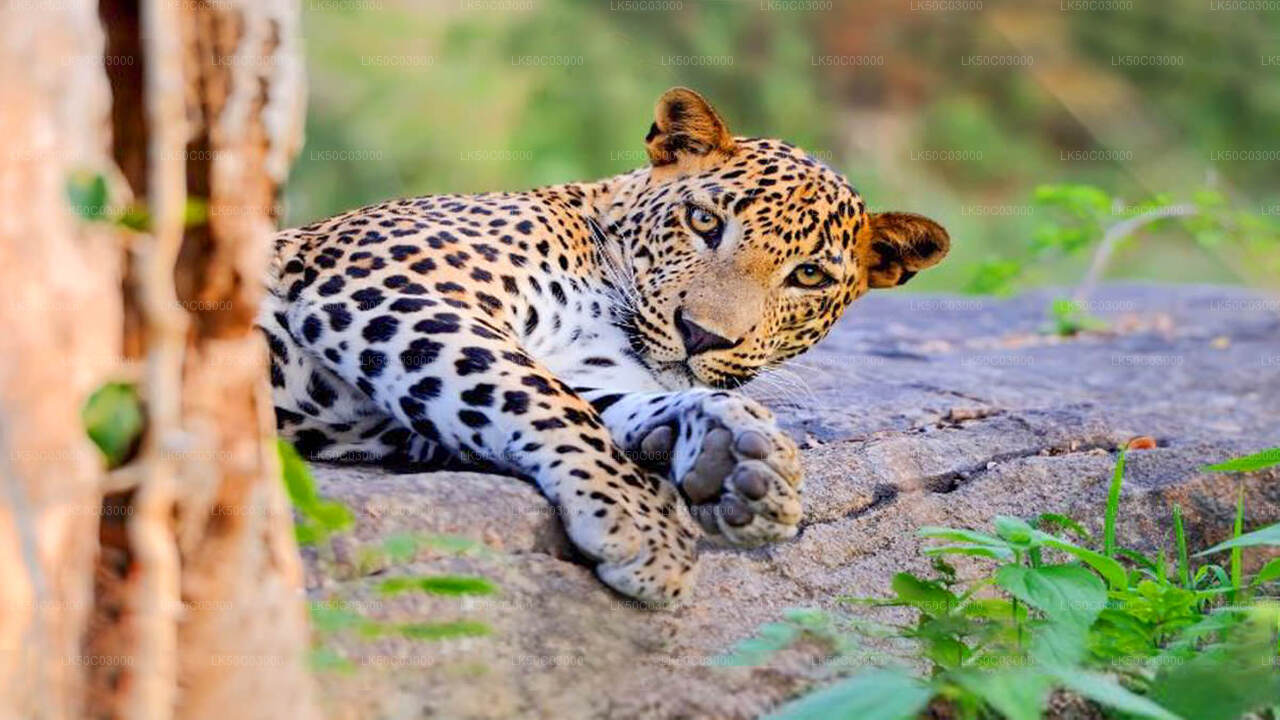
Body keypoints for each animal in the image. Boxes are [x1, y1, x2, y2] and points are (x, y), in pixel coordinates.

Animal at [260, 88, 950, 604]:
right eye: (704, 221)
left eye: (808, 276)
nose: (702, 334)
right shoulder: (389, 284)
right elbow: (541, 396)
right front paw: (642, 524)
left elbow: (587, 400)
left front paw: (736, 455)